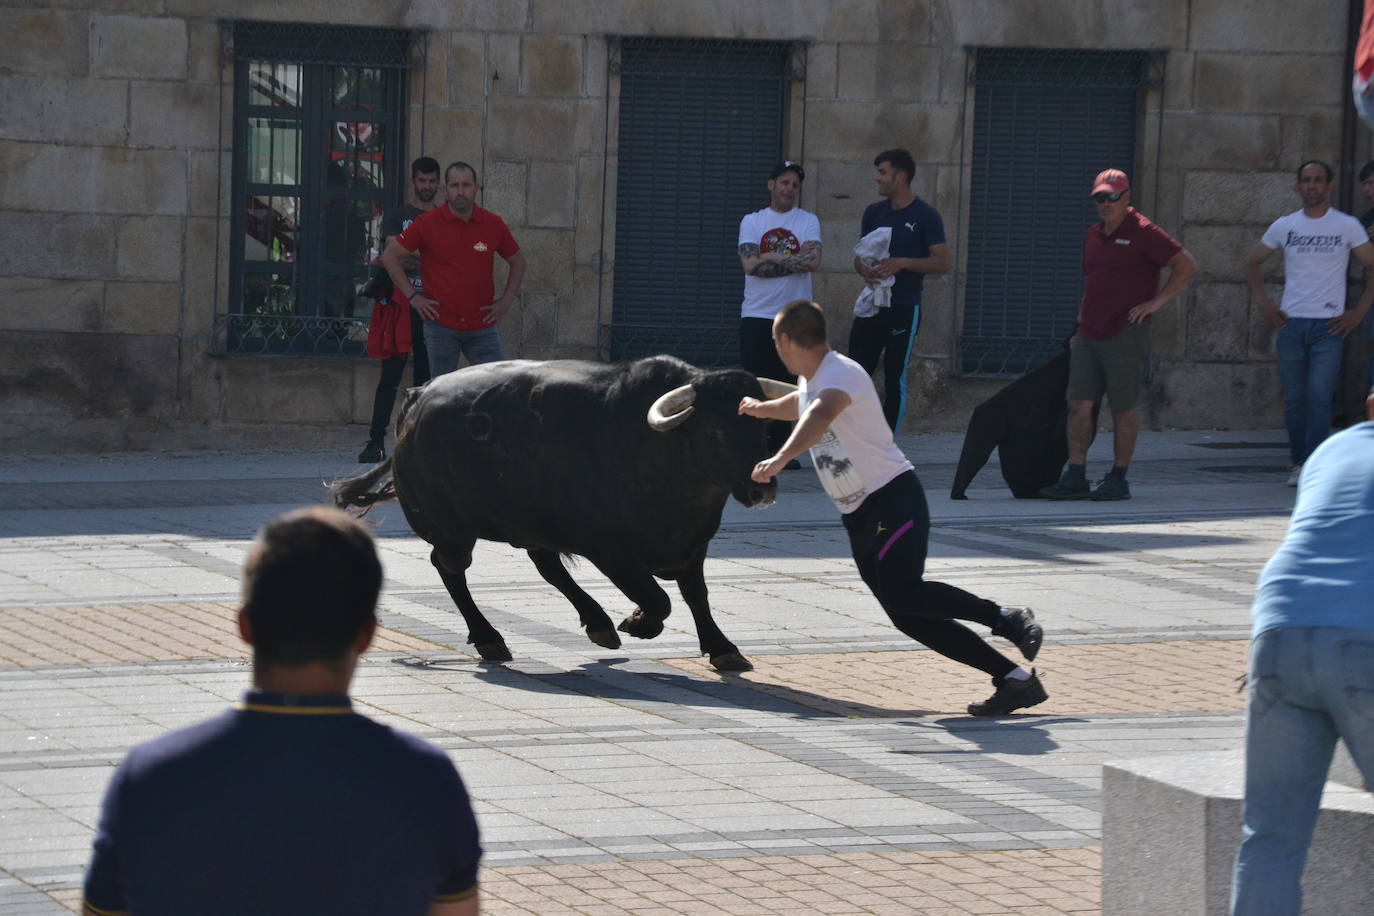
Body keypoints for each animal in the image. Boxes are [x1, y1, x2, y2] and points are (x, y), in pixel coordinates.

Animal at [331, 357, 796, 672]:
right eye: (715, 430)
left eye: (760, 426)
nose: (762, 488)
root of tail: (417, 398)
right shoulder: (611, 552)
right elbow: (658, 599)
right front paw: (639, 623)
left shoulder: (693, 546)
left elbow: (696, 596)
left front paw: (723, 648)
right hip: (452, 529)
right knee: (450, 569)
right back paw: (490, 638)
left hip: (531, 522)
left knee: (546, 564)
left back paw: (597, 624)